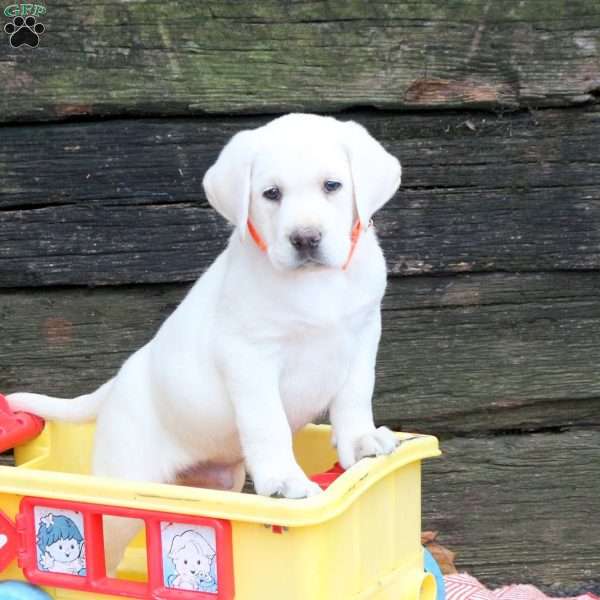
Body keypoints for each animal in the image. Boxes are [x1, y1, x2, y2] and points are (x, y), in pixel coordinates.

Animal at [7, 112, 400, 568]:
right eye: (271, 194)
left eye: (332, 186)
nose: (305, 238)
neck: (316, 285)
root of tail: (116, 385)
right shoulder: (249, 356)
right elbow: (267, 423)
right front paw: (284, 479)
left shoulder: (364, 332)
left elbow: (355, 395)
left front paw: (360, 441)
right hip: (121, 492)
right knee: (103, 541)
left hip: (218, 481)